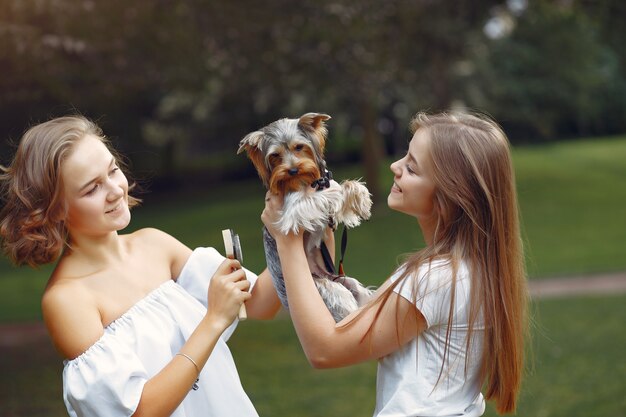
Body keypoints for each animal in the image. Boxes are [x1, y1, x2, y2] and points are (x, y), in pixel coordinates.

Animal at [238, 112, 372, 320]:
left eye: (299, 147)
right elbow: (317, 197)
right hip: (329, 289)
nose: (292, 170)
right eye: (275, 155)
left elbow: (345, 185)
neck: (307, 181)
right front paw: (336, 193)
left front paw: (362, 199)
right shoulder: (291, 212)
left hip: (347, 282)